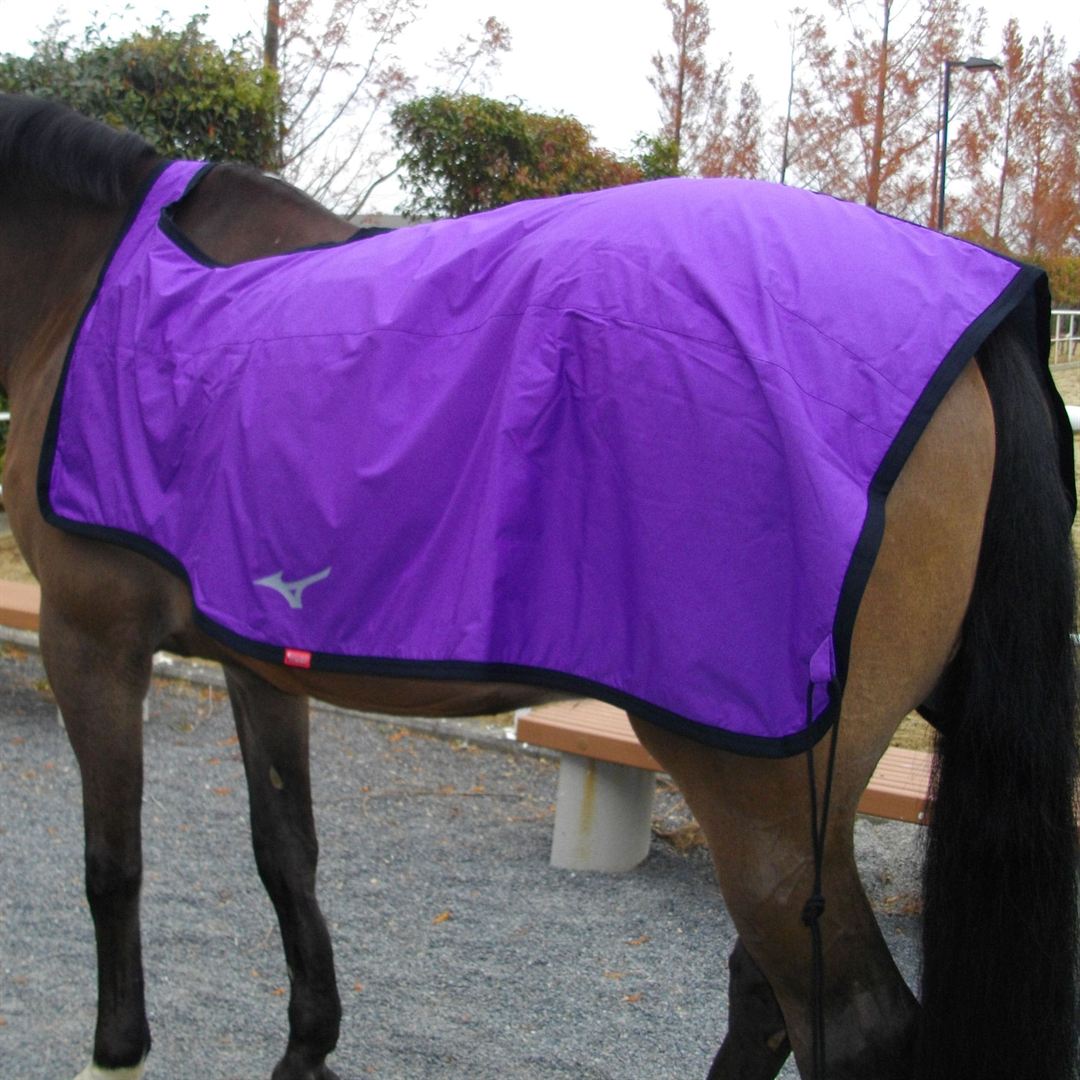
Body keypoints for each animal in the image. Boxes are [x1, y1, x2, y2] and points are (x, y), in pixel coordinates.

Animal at [1, 93, 1077, 1080]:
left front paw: (117, 1052)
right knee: (767, 996)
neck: (86, 288)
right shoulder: (255, 656)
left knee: (844, 1024)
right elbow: (286, 855)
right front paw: (306, 1049)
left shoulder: (89, 639)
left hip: (760, 790)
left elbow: (113, 864)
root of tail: (977, 336)